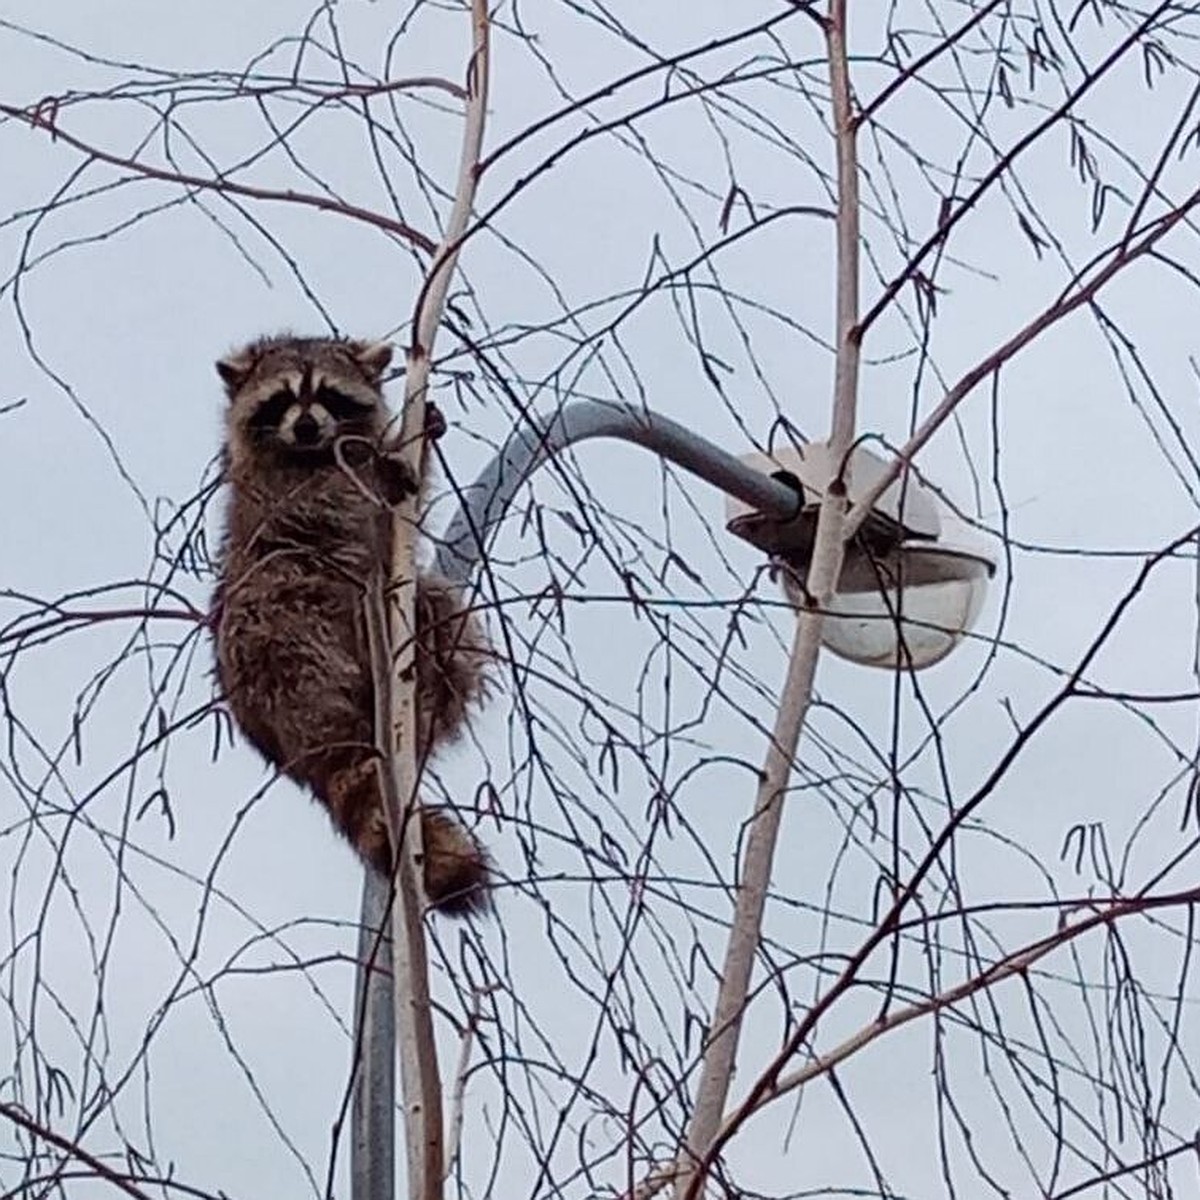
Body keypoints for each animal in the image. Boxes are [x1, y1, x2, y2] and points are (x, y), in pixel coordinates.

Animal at [210, 333, 487, 912]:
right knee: (288, 606)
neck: (311, 452)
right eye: (282, 399)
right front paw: (376, 467)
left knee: (437, 606)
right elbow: (334, 499)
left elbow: (391, 519)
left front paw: (414, 445)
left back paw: (425, 698)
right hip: (267, 630)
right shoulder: (278, 493)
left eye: (328, 396)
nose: (307, 426)